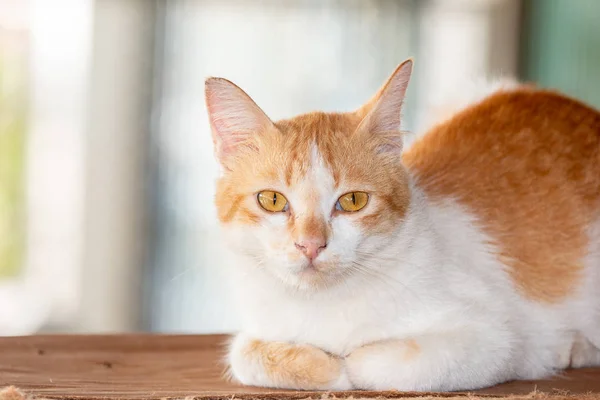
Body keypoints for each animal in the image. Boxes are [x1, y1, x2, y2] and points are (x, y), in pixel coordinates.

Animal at [203, 58, 600, 390]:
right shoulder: (258, 329)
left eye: (353, 201)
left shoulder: (496, 338)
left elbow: (374, 364)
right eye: (272, 200)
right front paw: (321, 364)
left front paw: (343, 365)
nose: (311, 245)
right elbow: (245, 354)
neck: (325, 302)